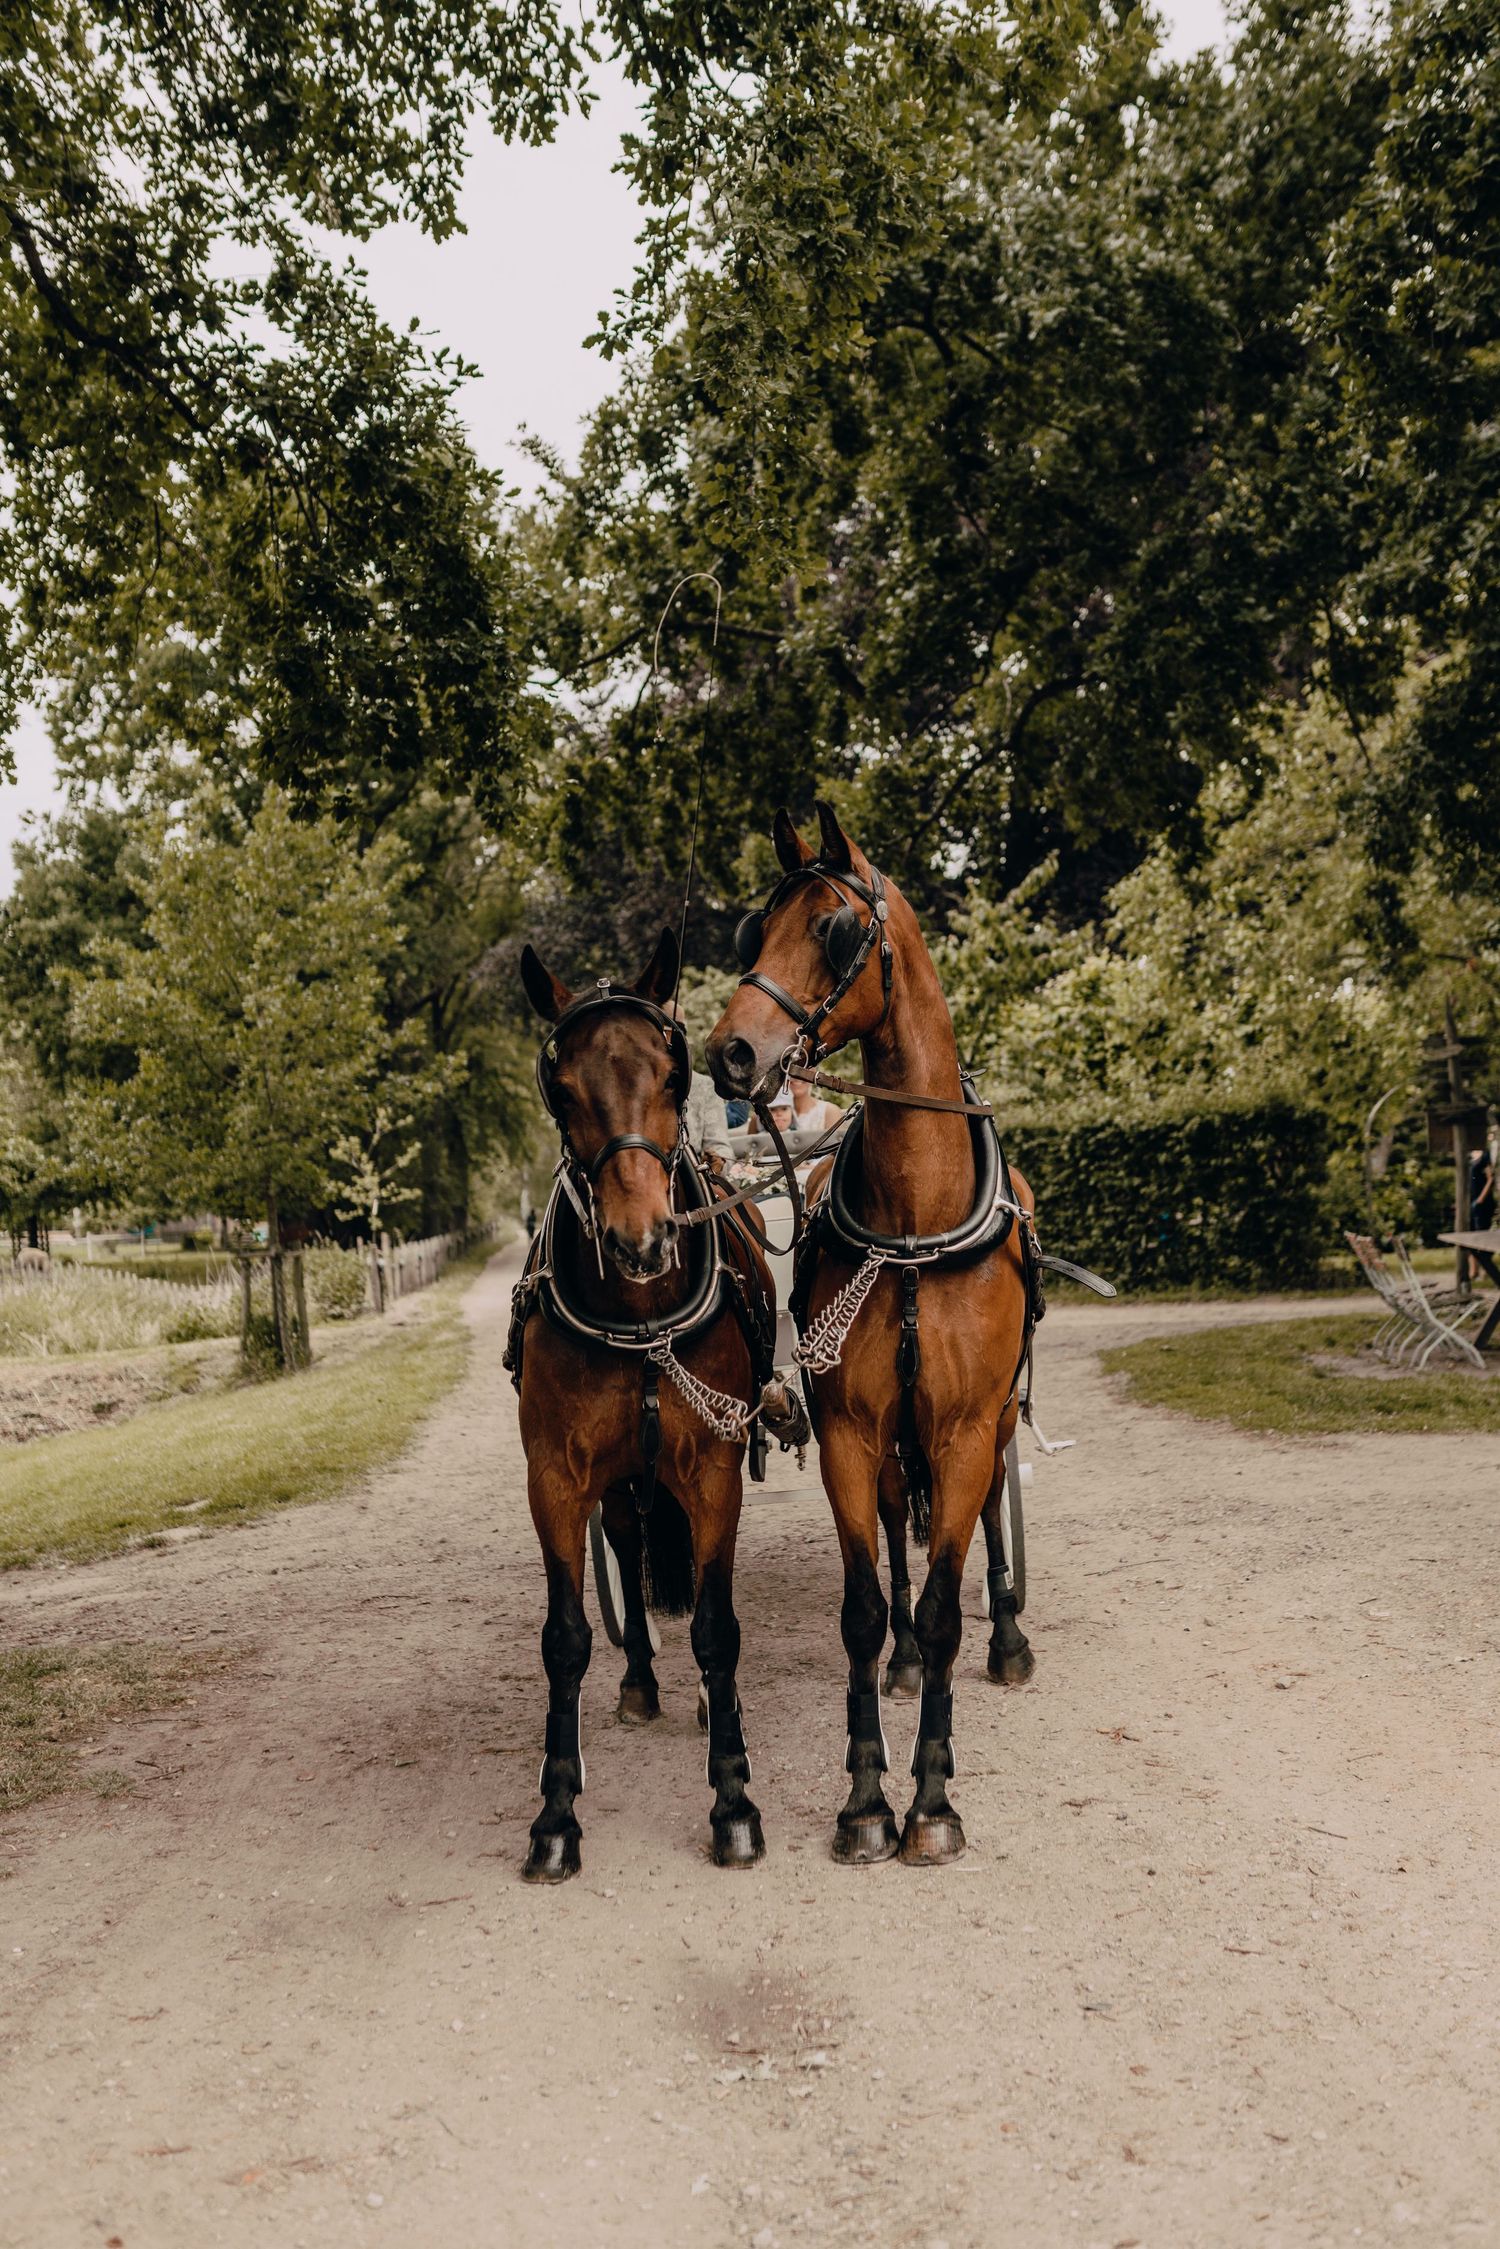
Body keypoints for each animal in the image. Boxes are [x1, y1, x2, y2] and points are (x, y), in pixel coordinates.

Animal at [507, 928, 781, 1882]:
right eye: (560, 1088)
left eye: (671, 1073)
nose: (642, 1241)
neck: (640, 1315)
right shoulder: (556, 1477)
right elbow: (565, 1637)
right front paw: (555, 1815)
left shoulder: (714, 1469)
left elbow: (717, 1625)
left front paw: (733, 1800)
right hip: (623, 1475)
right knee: (627, 1541)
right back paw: (638, 1685)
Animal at [707, 803, 1038, 1866]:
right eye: (753, 931)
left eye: (834, 928)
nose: (730, 1053)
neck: (912, 1219)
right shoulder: (853, 1429)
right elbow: (863, 1605)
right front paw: (863, 1797)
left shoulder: (965, 1430)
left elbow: (943, 1601)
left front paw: (931, 1801)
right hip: (895, 1440)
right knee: (900, 1527)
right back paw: (904, 1662)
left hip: (995, 1425)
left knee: (985, 1519)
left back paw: (1008, 1636)